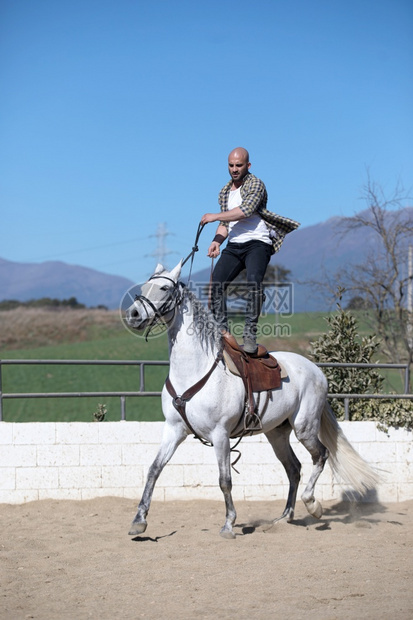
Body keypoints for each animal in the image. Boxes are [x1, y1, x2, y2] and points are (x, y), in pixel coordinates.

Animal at [124, 262, 378, 536]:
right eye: (144, 287)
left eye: (164, 288)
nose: (133, 314)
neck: (195, 370)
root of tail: (316, 369)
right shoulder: (173, 430)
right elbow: (154, 470)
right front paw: (139, 520)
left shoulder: (220, 435)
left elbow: (225, 480)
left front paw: (229, 524)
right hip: (277, 434)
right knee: (294, 469)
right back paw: (284, 517)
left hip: (305, 427)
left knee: (320, 456)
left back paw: (312, 505)